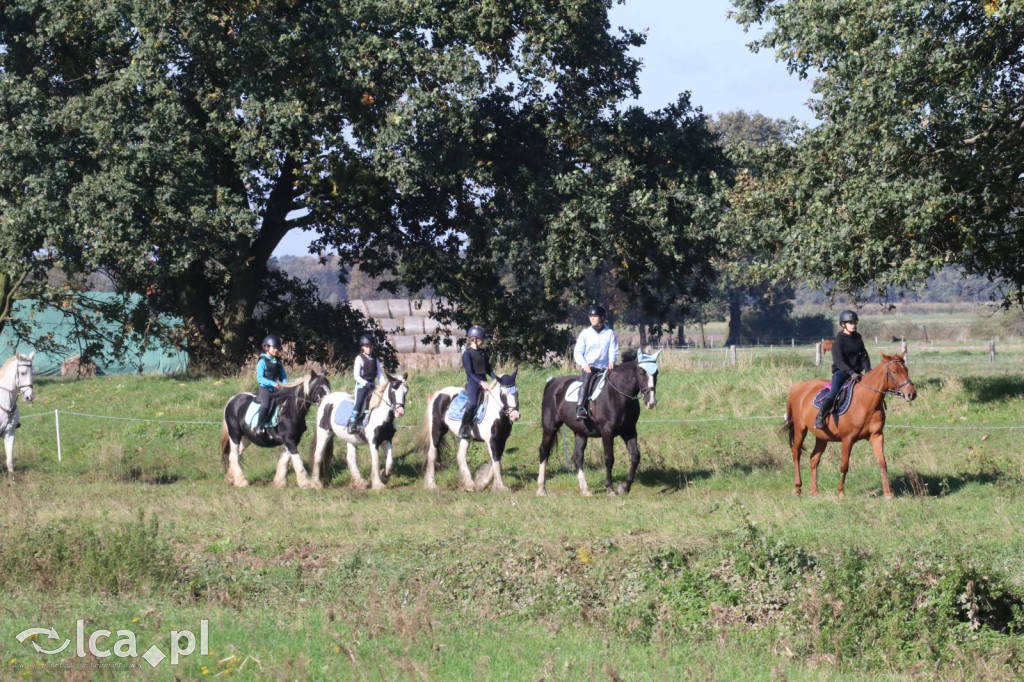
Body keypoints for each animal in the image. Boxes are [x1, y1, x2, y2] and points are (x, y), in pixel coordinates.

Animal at [536, 350, 663, 493]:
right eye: (641, 372)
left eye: (656, 373)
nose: (650, 402)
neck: (618, 394)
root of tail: (553, 382)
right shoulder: (607, 431)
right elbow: (609, 458)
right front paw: (609, 488)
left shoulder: (629, 430)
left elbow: (635, 456)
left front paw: (624, 487)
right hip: (550, 427)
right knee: (544, 451)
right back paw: (541, 489)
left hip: (580, 432)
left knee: (577, 457)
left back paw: (585, 490)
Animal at [782, 352, 921, 497]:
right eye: (895, 371)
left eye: (906, 370)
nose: (911, 394)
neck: (865, 401)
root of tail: (800, 386)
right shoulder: (847, 439)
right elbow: (844, 465)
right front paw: (840, 492)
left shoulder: (876, 435)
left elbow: (882, 463)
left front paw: (888, 493)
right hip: (800, 429)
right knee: (796, 452)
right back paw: (797, 487)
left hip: (822, 437)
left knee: (814, 459)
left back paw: (815, 491)